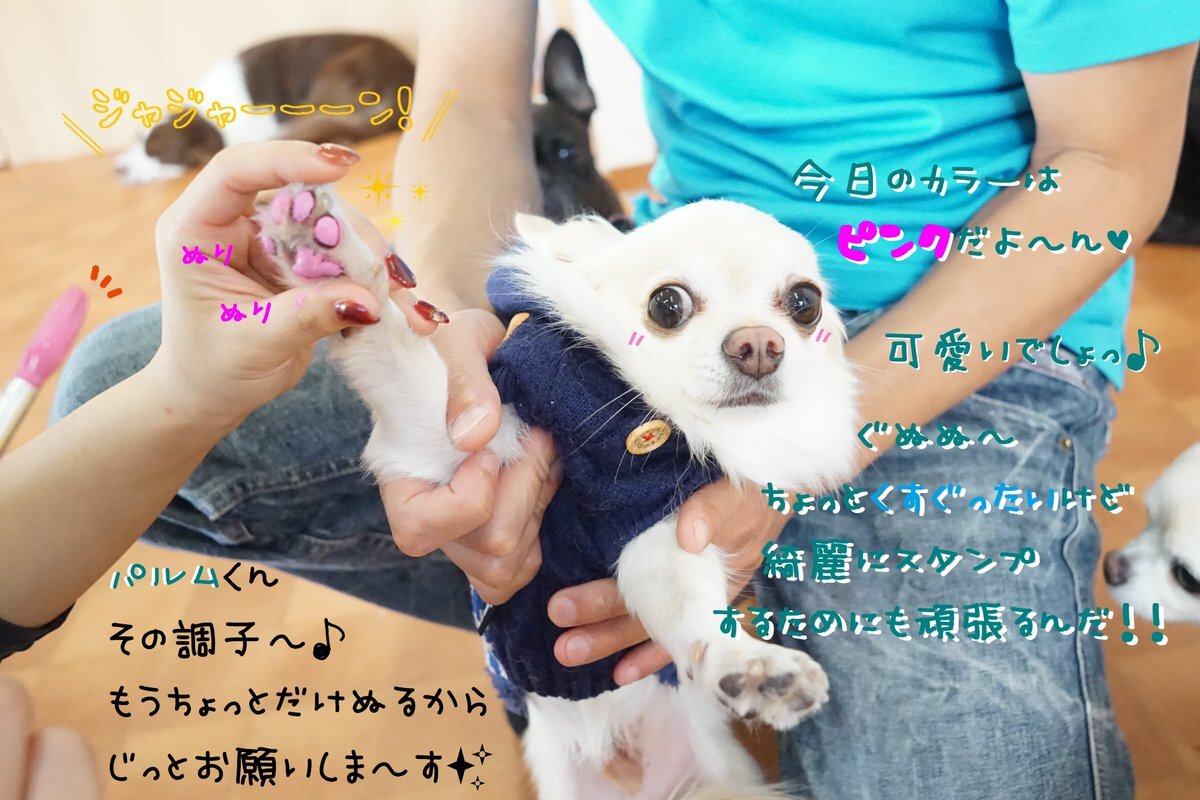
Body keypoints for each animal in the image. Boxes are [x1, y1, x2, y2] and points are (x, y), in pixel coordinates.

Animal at [251, 182, 859, 798]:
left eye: (805, 303)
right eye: (668, 305)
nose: (758, 343)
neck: (666, 419)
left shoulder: (655, 528)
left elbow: (687, 608)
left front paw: (746, 664)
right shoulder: (460, 442)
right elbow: (393, 347)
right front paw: (327, 257)